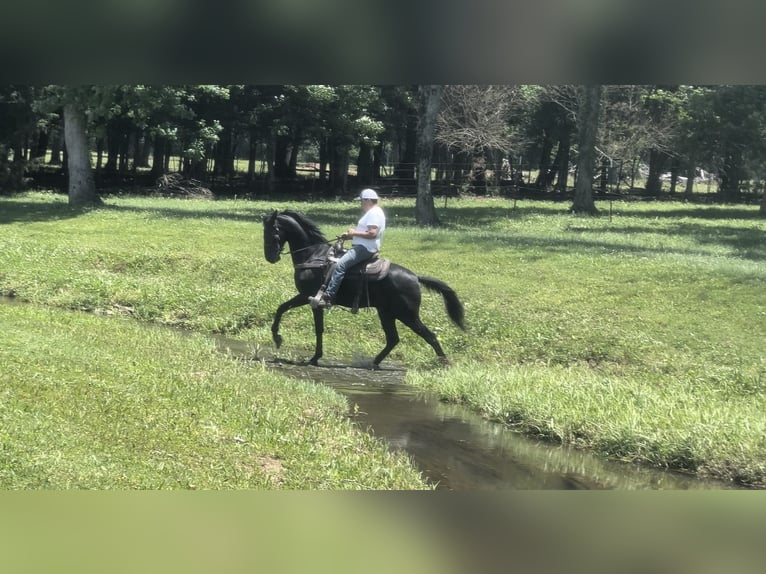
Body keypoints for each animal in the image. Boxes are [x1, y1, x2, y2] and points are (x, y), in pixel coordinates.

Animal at [264, 212, 468, 368]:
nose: (270, 257)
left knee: (429, 336)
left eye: (272, 231)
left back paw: (444, 363)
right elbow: (283, 309)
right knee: (393, 339)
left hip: (407, 315)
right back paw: (374, 362)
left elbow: (309, 324)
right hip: (387, 313)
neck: (314, 256)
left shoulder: (309, 297)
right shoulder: (309, 299)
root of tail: (415, 277)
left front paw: (296, 349)